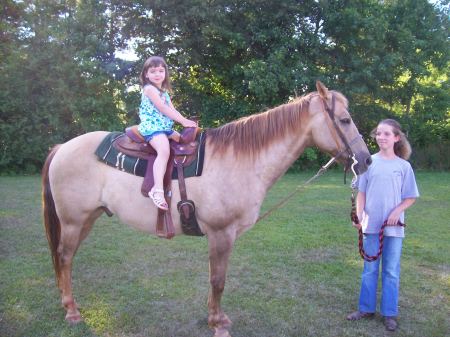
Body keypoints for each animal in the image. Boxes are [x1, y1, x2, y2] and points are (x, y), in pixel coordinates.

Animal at [43, 82, 372, 336]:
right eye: (344, 120)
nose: (366, 160)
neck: (241, 160)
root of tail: (62, 148)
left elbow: (215, 277)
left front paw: (216, 318)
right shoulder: (221, 233)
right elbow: (218, 280)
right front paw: (218, 324)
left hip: (87, 219)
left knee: (65, 258)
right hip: (73, 221)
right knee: (65, 257)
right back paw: (72, 312)